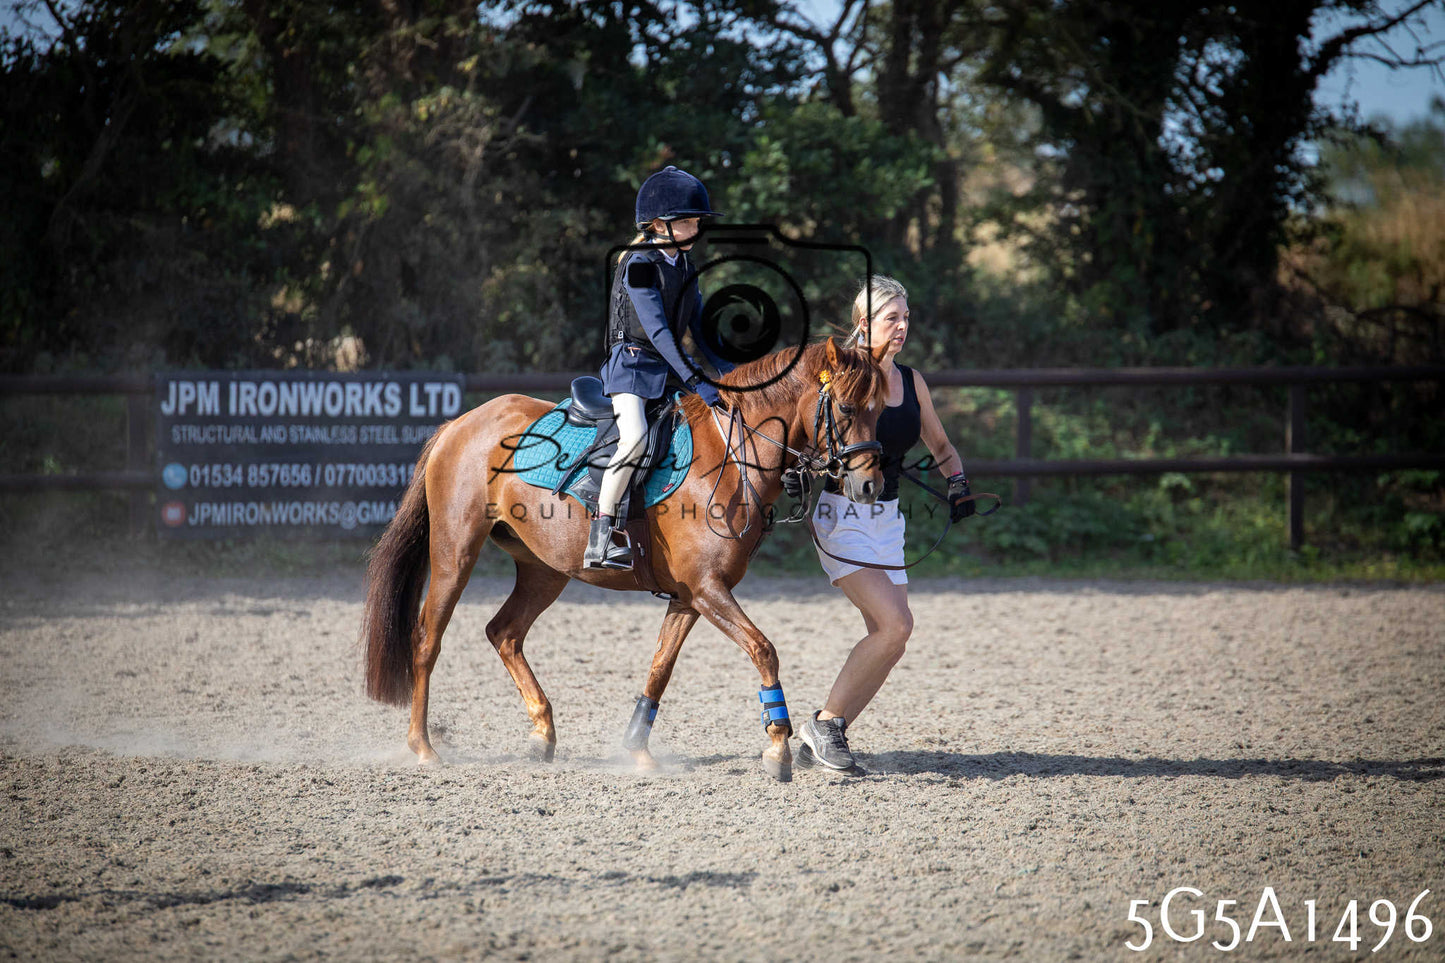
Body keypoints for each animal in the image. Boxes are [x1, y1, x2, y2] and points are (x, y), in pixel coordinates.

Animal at [360, 337, 888, 781]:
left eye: (881, 409)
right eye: (846, 407)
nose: (869, 486)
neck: (733, 455)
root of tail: (461, 422)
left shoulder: (689, 596)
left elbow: (660, 667)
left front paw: (636, 750)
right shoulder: (708, 588)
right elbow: (764, 650)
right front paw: (777, 747)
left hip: (545, 571)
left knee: (504, 633)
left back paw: (542, 734)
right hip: (455, 553)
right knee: (427, 639)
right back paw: (423, 746)